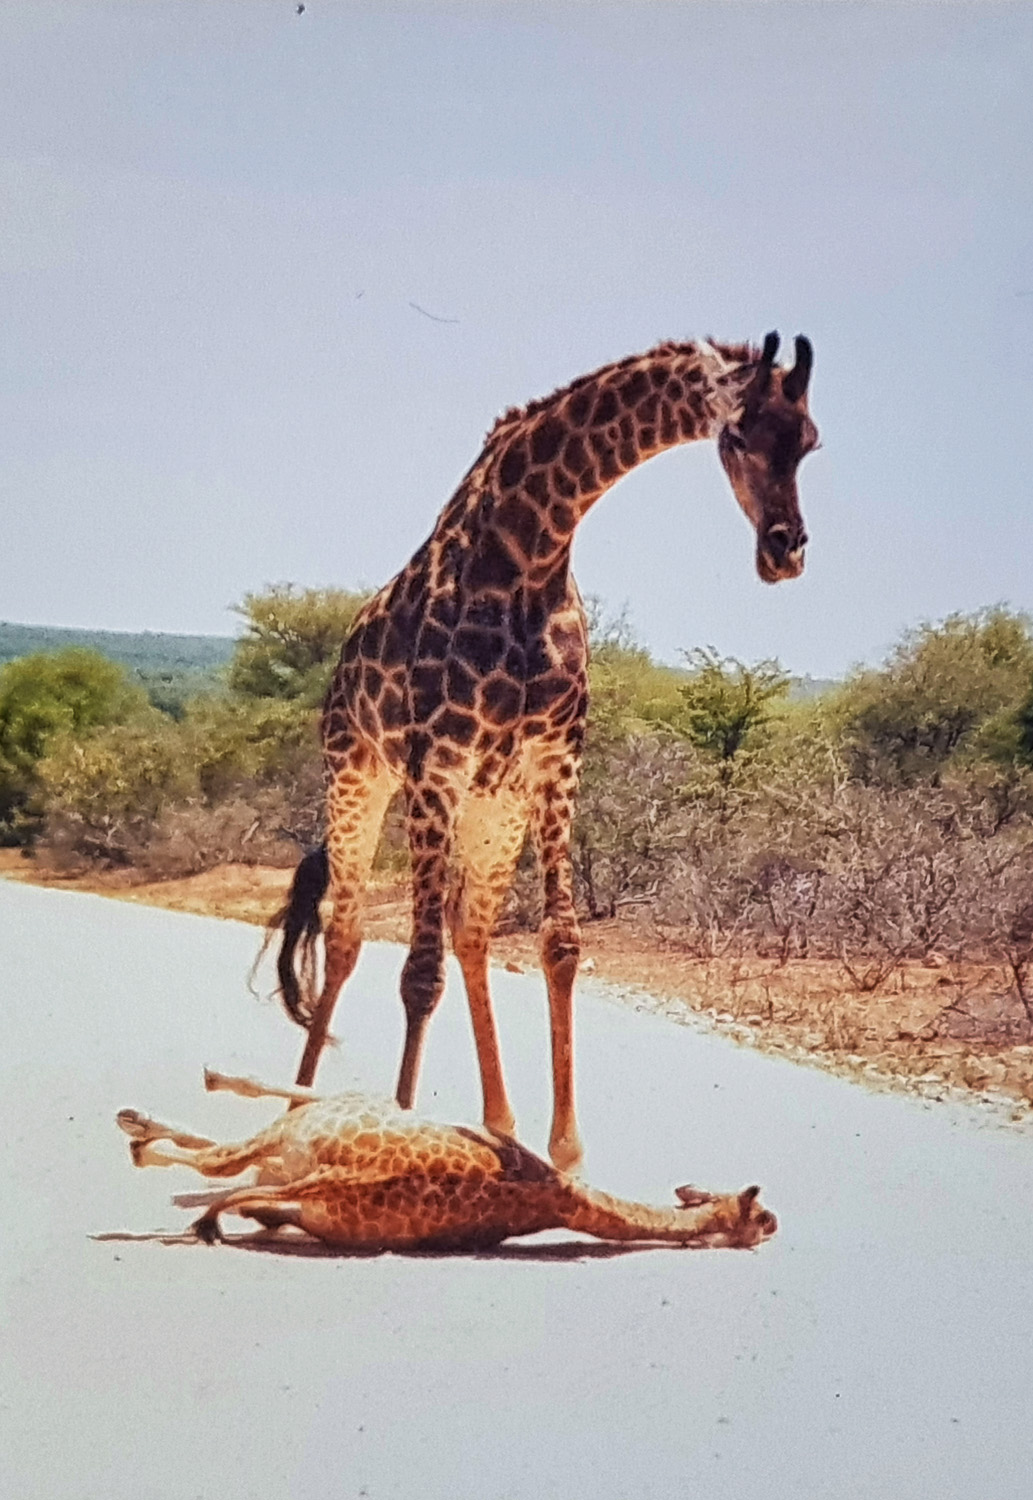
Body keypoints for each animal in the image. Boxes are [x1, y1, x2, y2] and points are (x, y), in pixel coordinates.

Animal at [117, 1070, 778, 1251]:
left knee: (222, 1165)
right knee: (226, 1169)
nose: (688, 1183)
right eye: (758, 1217)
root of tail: (344, 1176)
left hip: (301, 1140)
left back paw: (139, 1134)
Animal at [271, 330, 818, 1172]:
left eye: (810, 442)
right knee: (346, 933)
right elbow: (417, 970)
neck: (532, 546)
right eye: (734, 436)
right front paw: (399, 1135)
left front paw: (565, 1148)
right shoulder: (435, 758)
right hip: (359, 775)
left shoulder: (555, 756)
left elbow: (558, 943)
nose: (783, 552)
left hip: (490, 806)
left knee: (468, 933)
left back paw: (500, 1126)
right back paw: (300, 1102)